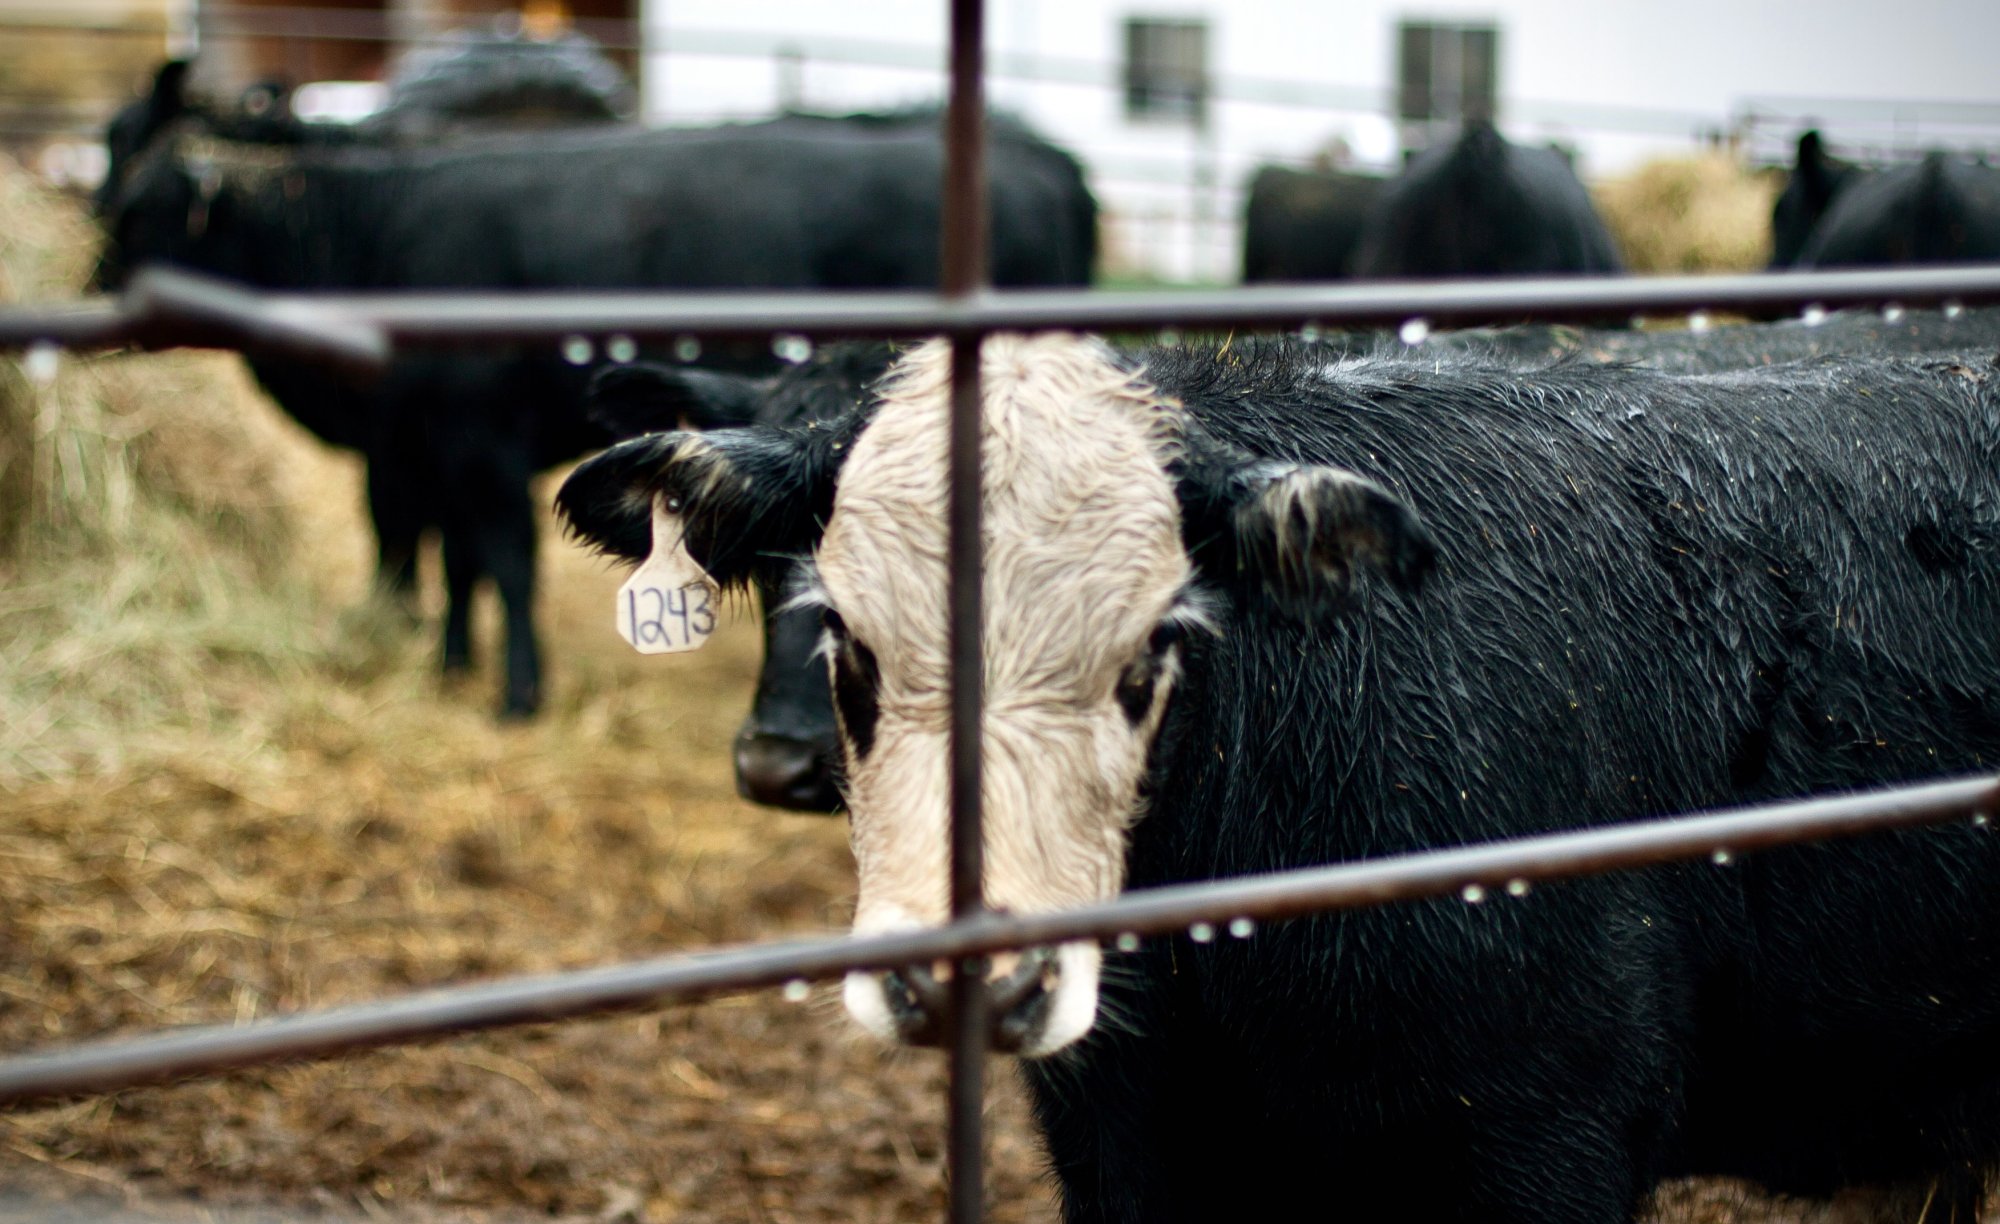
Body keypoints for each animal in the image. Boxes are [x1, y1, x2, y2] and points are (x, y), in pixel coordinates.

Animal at [95, 62, 1096, 716]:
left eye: (140, 208)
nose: (96, 287)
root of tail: (1039, 160)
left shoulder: (474, 442)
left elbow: (498, 559)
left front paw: (516, 691)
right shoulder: (431, 441)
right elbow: (453, 558)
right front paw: (451, 661)